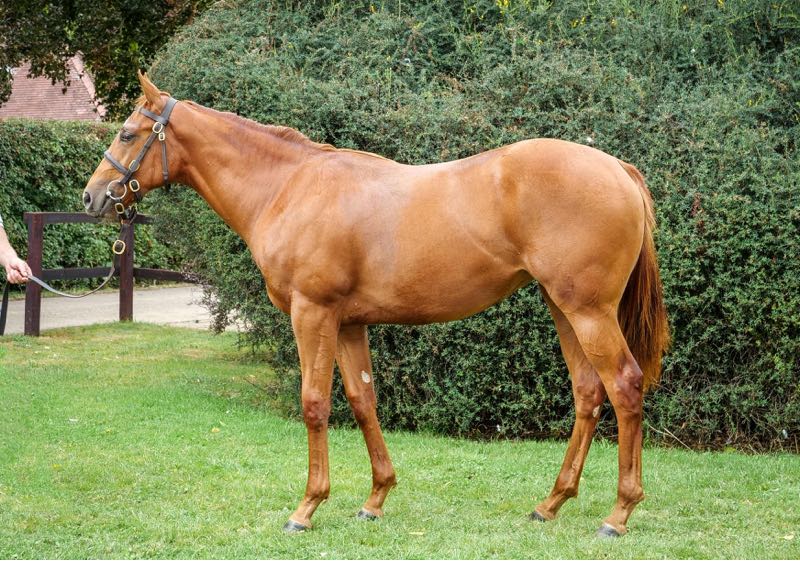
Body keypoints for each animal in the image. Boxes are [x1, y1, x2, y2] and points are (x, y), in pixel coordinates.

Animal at [83, 72, 669, 538]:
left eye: (127, 132)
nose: (91, 197)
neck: (288, 188)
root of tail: (616, 168)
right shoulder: (348, 324)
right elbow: (363, 401)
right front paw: (375, 499)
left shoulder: (312, 314)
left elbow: (315, 404)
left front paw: (307, 508)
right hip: (562, 307)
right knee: (588, 393)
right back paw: (551, 504)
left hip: (589, 312)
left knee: (624, 387)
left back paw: (619, 514)